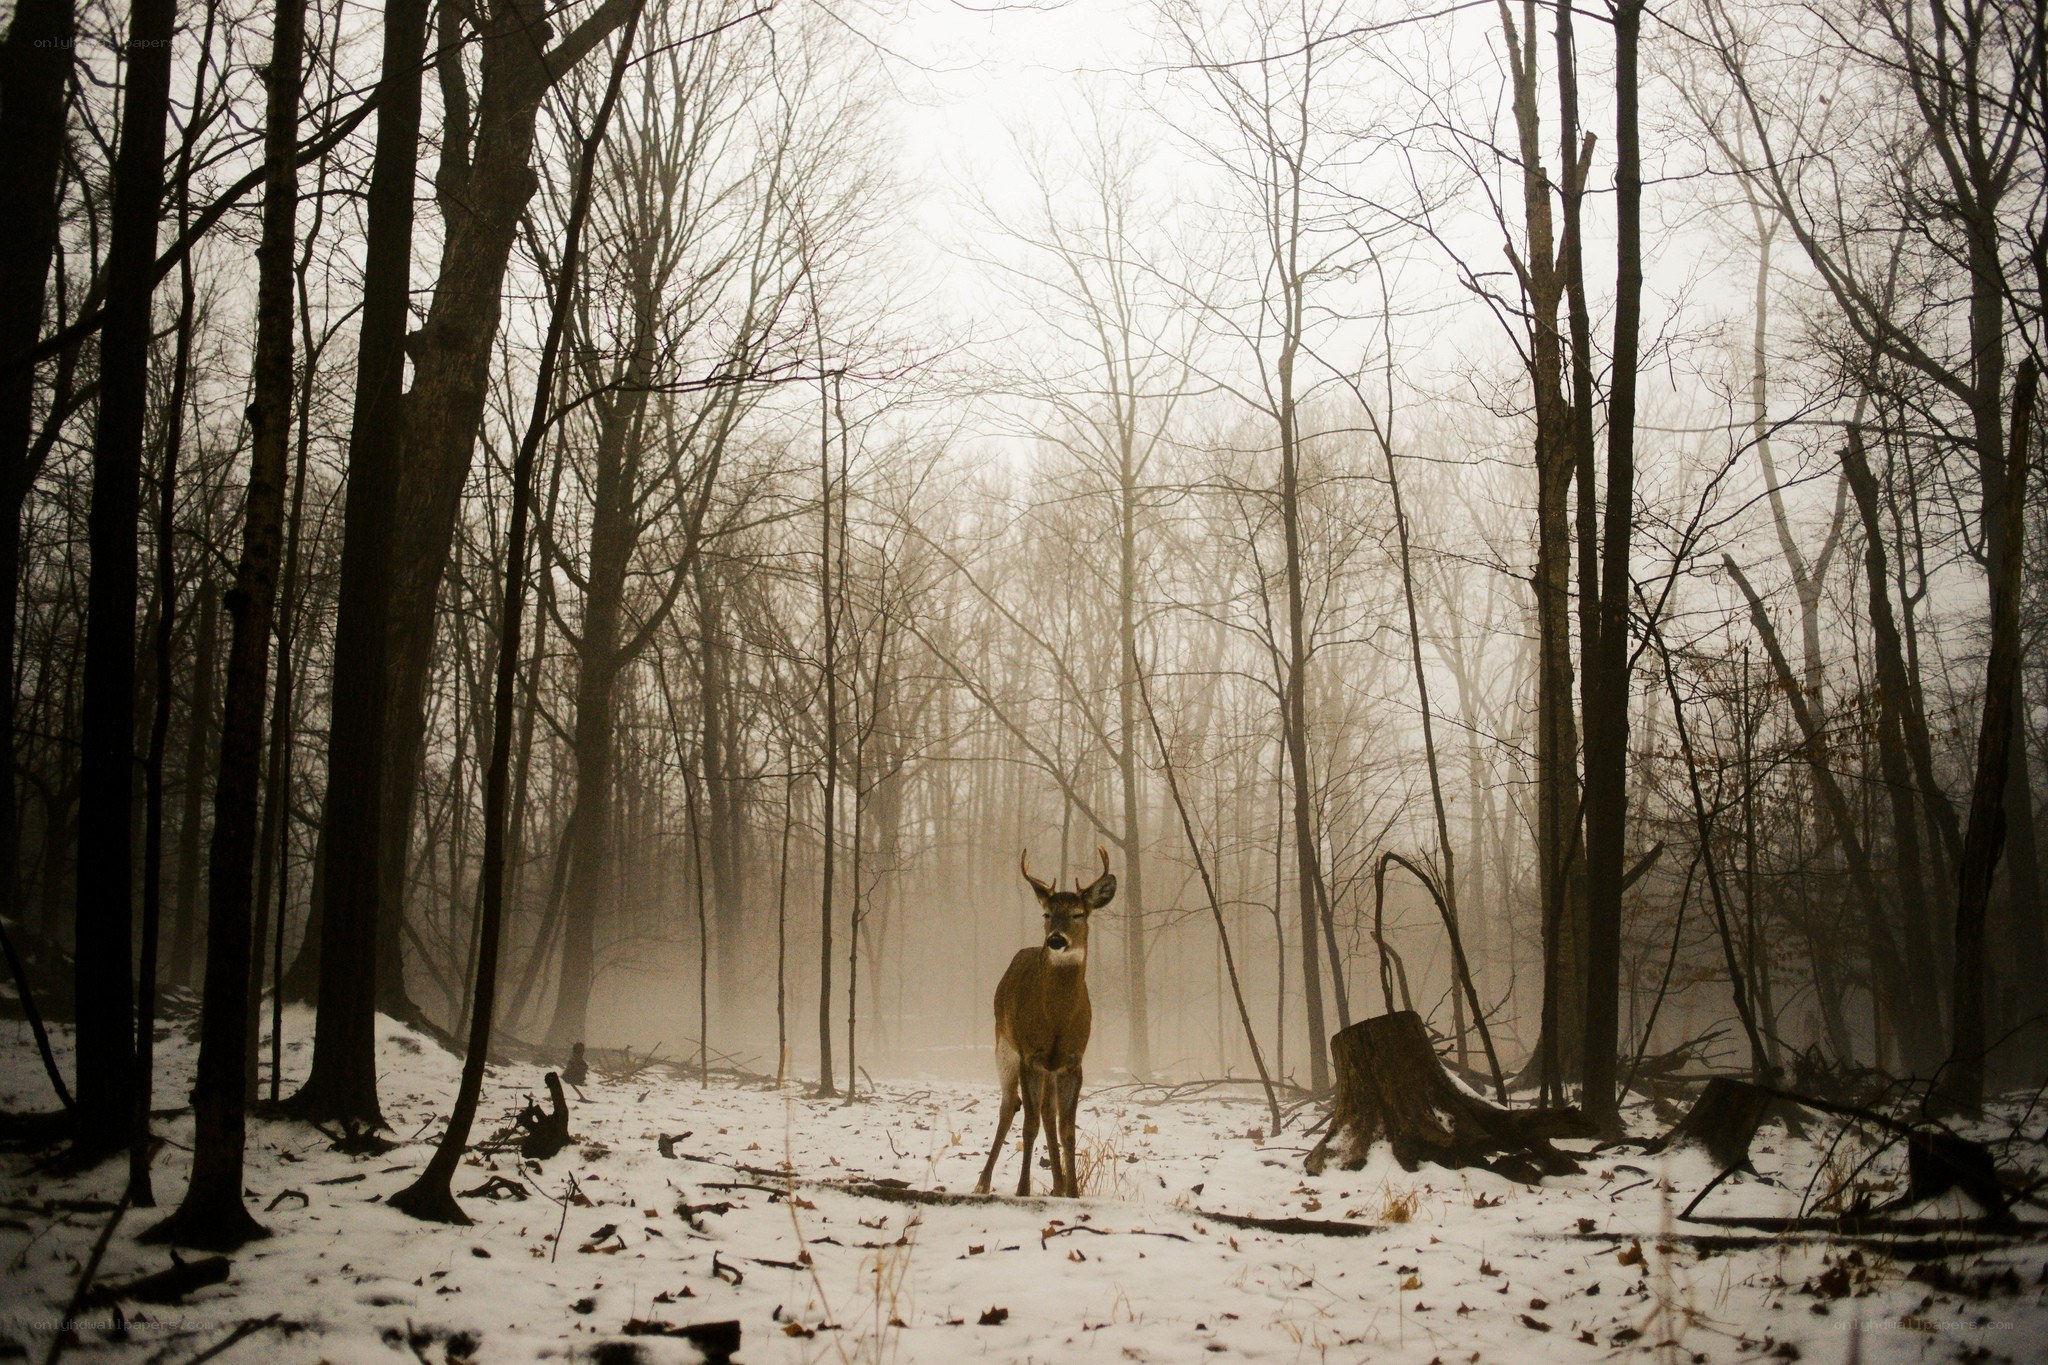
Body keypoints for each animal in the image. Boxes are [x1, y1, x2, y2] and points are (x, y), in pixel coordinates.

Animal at [975, 845, 1116, 1198]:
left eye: (1079, 914)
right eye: (1046, 914)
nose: (1055, 940)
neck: (1057, 1021)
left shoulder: (1072, 1061)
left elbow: (1067, 1128)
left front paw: (1074, 1192)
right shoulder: (1030, 1054)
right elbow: (1029, 1124)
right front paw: (1023, 1189)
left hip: (1049, 1069)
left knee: (1048, 1113)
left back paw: (1057, 1185)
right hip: (1003, 1047)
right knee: (1010, 1106)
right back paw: (983, 1182)